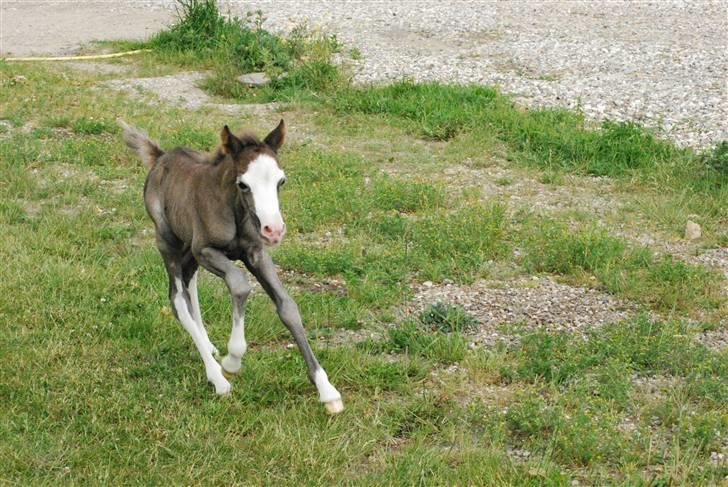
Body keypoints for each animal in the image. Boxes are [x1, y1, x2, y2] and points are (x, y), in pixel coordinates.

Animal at [120, 121, 344, 416]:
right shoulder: (205, 250)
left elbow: (287, 306)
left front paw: (327, 390)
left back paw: (209, 348)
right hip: (168, 242)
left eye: (281, 181)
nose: (274, 230)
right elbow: (239, 284)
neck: (235, 211)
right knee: (178, 299)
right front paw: (233, 360)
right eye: (243, 184)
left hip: (187, 249)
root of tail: (159, 157)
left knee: (190, 285)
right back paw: (217, 377)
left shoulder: (256, 253)